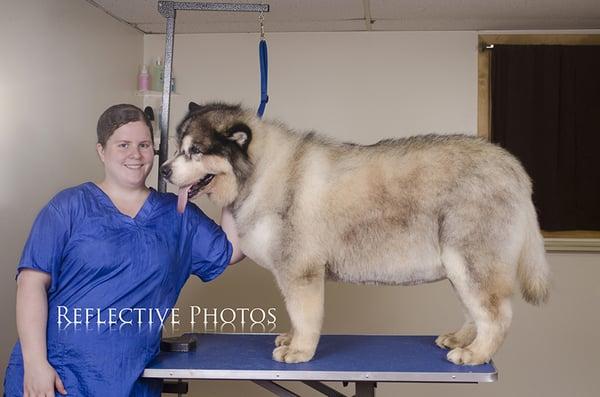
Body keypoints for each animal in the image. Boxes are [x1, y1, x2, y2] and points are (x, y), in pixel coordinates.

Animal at [159, 102, 548, 366]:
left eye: (195, 151)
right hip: (459, 265)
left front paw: (300, 350)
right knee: (475, 310)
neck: (261, 171)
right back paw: (461, 339)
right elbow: (296, 316)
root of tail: (512, 165)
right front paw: (292, 339)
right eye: (178, 147)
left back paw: (476, 353)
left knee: (496, 315)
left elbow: (305, 315)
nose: (163, 169)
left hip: (470, 258)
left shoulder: (300, 270)